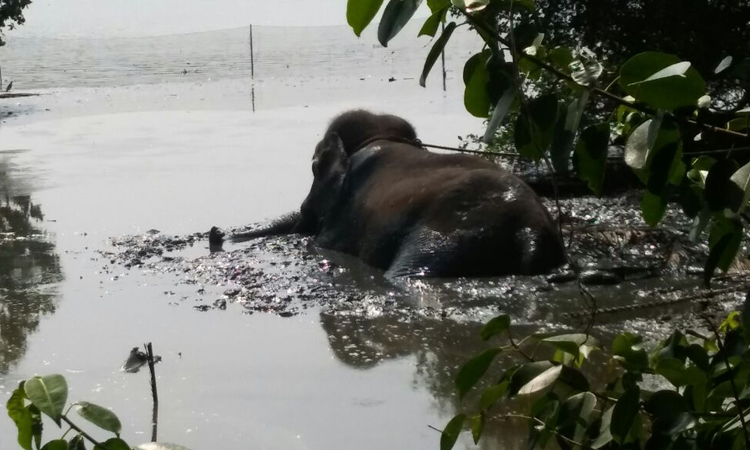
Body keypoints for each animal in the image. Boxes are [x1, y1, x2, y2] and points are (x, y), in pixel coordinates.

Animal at [223, 110, 566, 277]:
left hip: (445, 237)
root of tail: (531, 231)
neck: (380, 136)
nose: (216, 233)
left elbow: (323, 243)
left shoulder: (341, 221)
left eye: (313, 166)